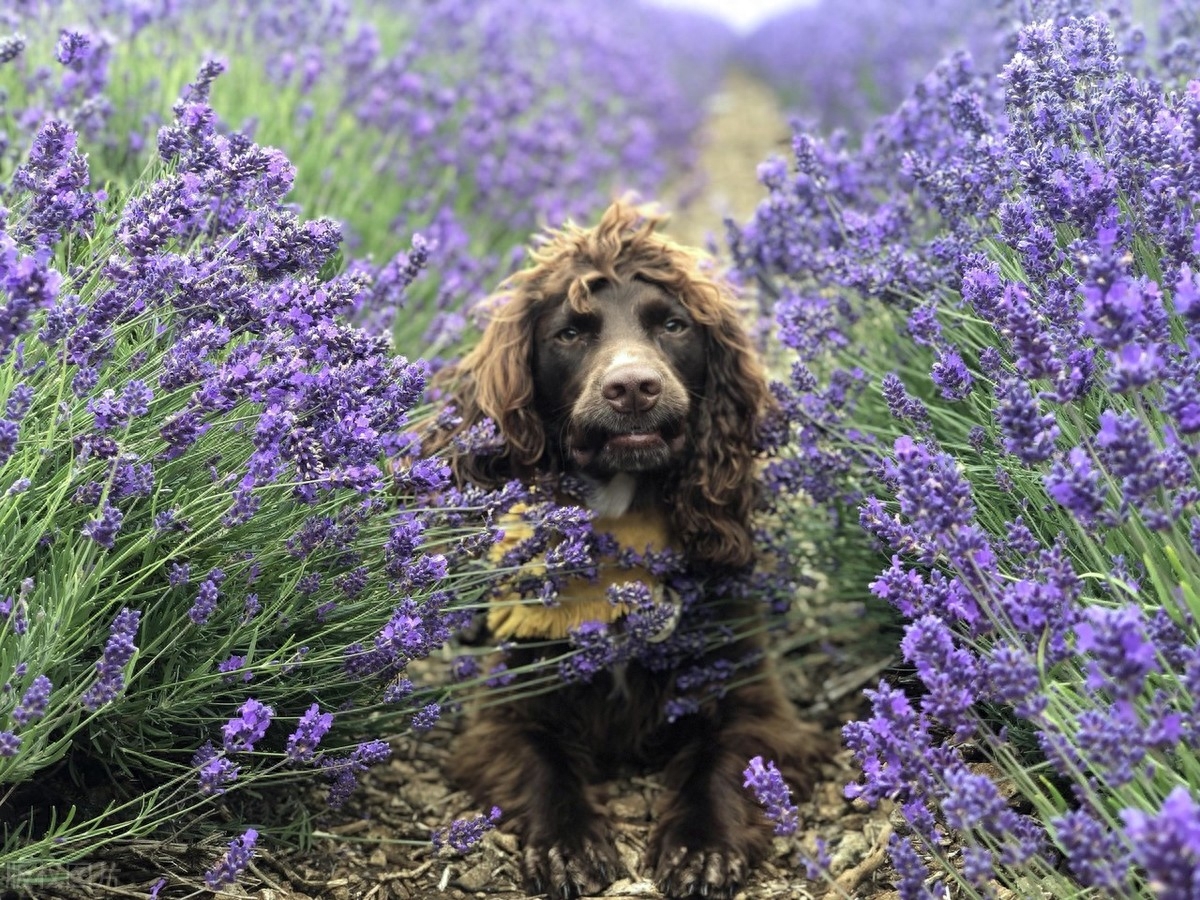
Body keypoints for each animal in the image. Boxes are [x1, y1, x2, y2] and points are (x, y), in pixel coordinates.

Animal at [427, 204, 830, 900]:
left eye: (672, 325)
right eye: (569, 333)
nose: (634, 387)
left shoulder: (749, 697)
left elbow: (721, 763)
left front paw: (702, 848)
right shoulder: (511, 705)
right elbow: (545, 764)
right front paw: (568, 846)